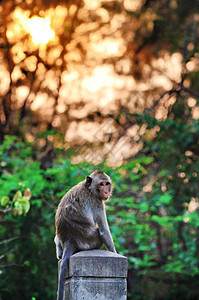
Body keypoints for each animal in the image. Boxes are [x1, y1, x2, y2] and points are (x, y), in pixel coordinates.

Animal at [54, 170, 116, 298]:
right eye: (101, 184)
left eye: (107, 184)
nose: (106, 191)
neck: (89, 189)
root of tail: (69, 240)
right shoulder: (97, 202)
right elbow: (103, 230)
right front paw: (114, 252)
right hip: (91, 242)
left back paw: (60, 252)